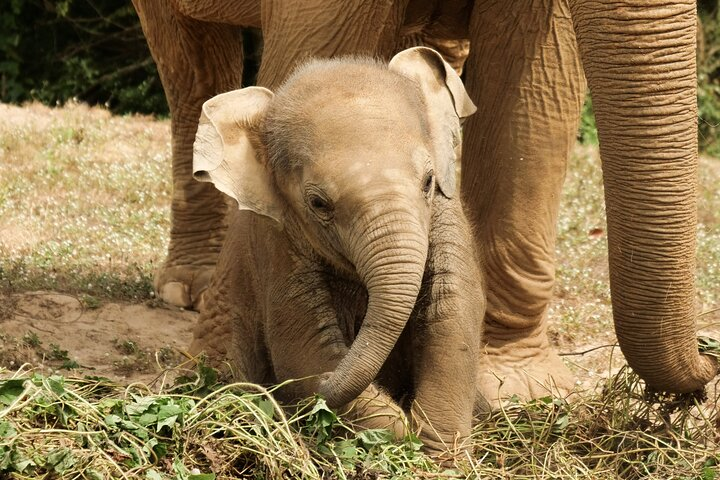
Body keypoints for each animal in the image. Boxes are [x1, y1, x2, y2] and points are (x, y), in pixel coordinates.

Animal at [131, 0, 718, 407]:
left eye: (431, 183)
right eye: (317, 204)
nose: (706, 369)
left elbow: (534, 87)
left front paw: (522, 392)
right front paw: (224, 384)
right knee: (191, 69)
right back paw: (186, 294)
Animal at [188, 47, 486, 455]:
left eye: (427, 182)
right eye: (317, 203)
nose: (273, 393)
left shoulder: (447, 209)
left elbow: (454, 314)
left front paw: (437, 454)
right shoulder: (276, 242)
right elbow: (304, 350)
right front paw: (397, 438)